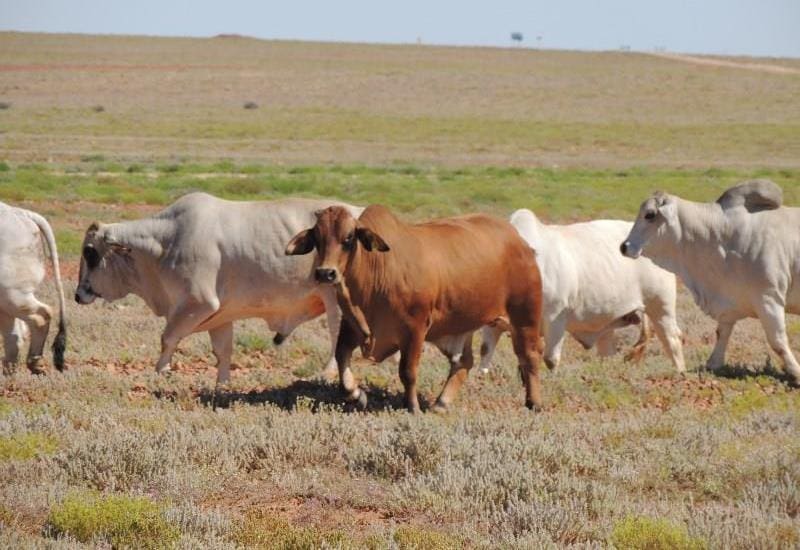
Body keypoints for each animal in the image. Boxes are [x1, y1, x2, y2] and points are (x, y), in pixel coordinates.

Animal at [75, 193, 362, 384]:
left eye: (90, 252)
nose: (78, 295)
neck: (165, 242)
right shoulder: (221, 316)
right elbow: (223, 353)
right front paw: (222, 385)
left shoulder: (198, 303)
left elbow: (167, 338)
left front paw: (160, 373)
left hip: (335, 300)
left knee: (337, 334)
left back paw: (327, 373)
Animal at [288, 205, 544, 412]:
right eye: (317, 237)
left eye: (349, 237)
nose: (326, 273)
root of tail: (519, 240)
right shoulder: (351, 326)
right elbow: (341, 358)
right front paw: (356, 395)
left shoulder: (415, 329)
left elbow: (408, 371)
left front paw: (412, 407)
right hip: (462, 323)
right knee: (464, 362)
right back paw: (441, 403)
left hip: (525, 315)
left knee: (529, 356)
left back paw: (534, 403)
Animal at [478, 210, 684, 376]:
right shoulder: (492, 324)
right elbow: (485, 352)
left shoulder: (555, 319)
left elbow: (551, 359)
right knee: (607, 351)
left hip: (661, 308)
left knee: (673, 342)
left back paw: (680, 374)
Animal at [620, 181, 800, 388]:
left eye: (649, 215)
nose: (624, 246)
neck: (722, 236)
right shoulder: (730, 301)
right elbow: (721, 333)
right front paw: (713, 364)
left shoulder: (768, 298)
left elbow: (777, 341)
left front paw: (796, 373)